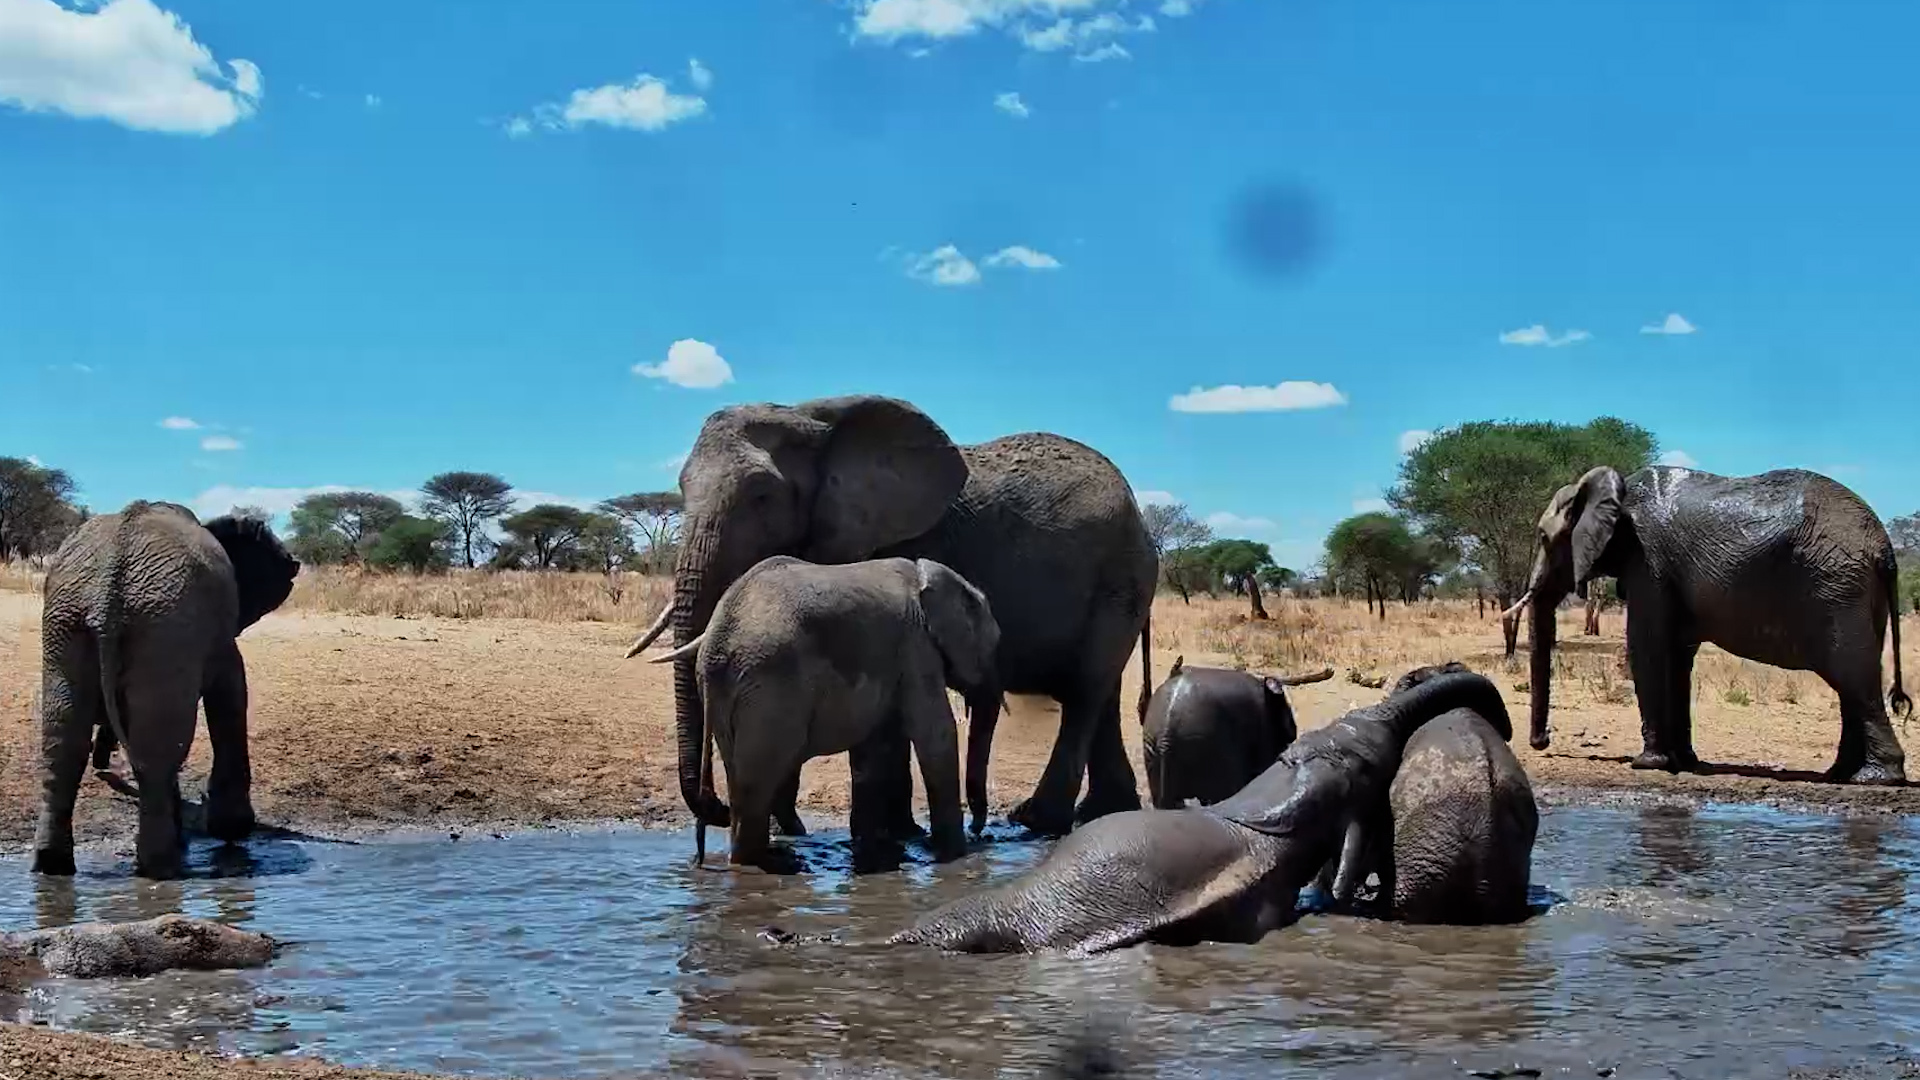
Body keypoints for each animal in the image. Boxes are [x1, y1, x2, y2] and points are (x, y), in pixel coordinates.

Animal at [33, 500, 300, 880]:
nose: (106, 765)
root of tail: (107, 584)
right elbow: (232, 697)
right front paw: (231, 829)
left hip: (69, 620)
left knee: (65, 742)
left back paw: (52, 866)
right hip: (162, 625)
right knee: (158, 751)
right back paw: (162, 868)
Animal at [649, 555, 1001, 870]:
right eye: (996, 643)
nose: (980, 833)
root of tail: (716, 636)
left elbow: (875, 748)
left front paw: (875, 851)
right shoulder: (917, 647)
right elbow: (935, 732)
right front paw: (957, 855)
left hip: (733, 693)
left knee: (743, 777)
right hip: (770, 685)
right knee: (757, 781)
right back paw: (767, 864)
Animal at [1507, 465, 1912, 784]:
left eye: (1543, 537)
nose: (1542, 742)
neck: (1617, 491)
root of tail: (1884, 547)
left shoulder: (1649, 560)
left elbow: (1647, 646)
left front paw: (1646, 764)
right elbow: (1677, 656)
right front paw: (1684, 762)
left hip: (1837, 586)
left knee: (1852, 676)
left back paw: (1875, 779)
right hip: (1854, 590)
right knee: (1851, 684)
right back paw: (1840, 774)